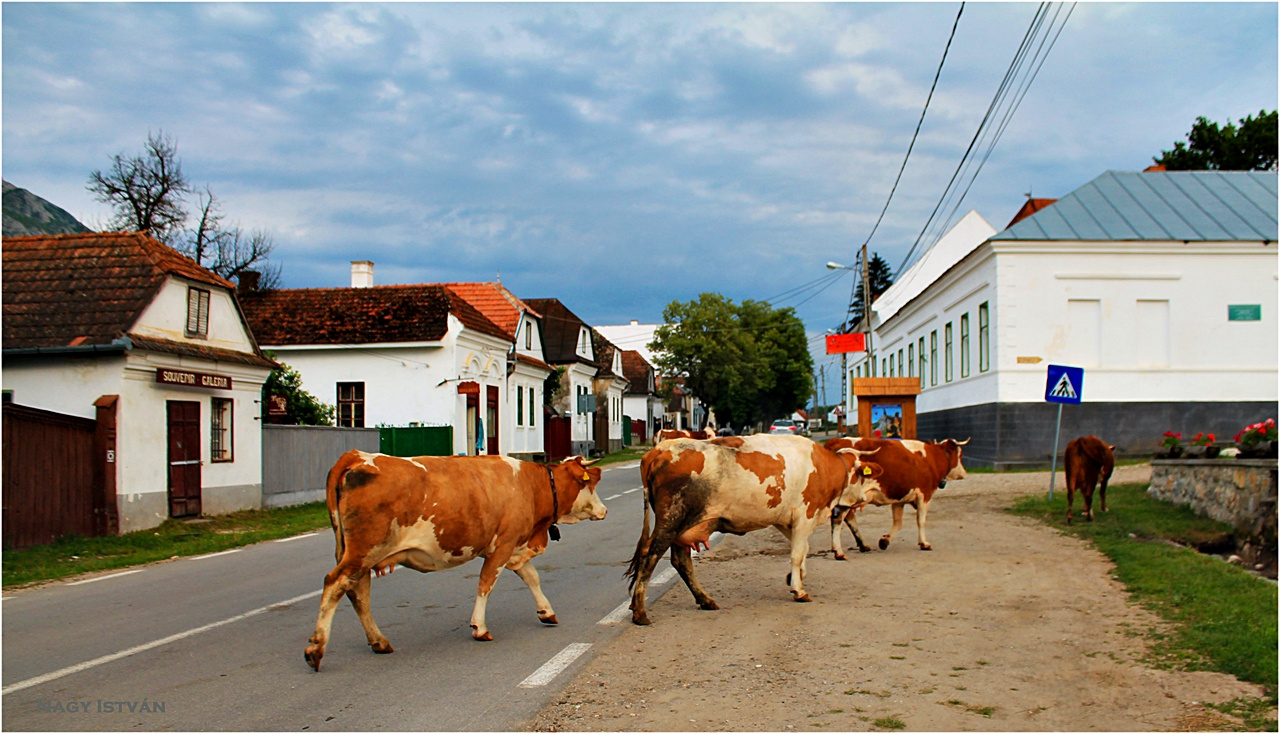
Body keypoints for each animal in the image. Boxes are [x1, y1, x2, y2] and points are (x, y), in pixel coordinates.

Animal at [308, 445, 609, 671]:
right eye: (591, 484)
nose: (604, 510)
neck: (531, 486)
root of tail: (355, 456)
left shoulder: (516, 547)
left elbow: (531, 577)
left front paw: (546, 612)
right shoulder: (503, 544)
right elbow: (486, 583)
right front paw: (479, 627)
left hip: (360, 555)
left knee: (358, 592)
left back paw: (378, 642)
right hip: (363, 551)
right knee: (335, 584)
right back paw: (316, 649)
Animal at [622, 435, 880, 625]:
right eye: (860, 475)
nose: (862, 499)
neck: (823, 467)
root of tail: (659, 450)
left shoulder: (785, 520)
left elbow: (803, 550)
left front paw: (793, 577)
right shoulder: (804, 516)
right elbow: (797, 554)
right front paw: (799, 589)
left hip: (683, 527)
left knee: (681, 561)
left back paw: (704, 600)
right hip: (671, 520)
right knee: (649, 556)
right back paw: (640, 612)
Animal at [824, 435, 962, 555]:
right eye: (960, 455)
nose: (963, 473)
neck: (931, 458)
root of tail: (836, 440)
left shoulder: (899, 499)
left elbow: (898, 522)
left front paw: (885, 540)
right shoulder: (925, 494)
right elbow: (921, 520)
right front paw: (924, 543)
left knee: (848, 518)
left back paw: (863, 545)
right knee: (839, 519)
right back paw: (840, 550)